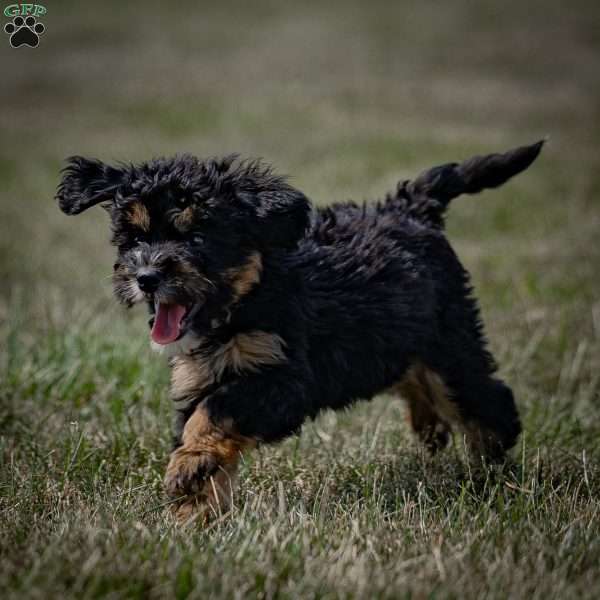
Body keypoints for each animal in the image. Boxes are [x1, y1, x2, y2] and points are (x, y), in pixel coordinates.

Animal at [56, 141, 544, 520]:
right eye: (135, 239)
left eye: (196, 238)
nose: (146, 278)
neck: (246, 300)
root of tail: (411, 207)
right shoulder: (200, 375)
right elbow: (205, 429)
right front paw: (195, 513)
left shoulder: (284, 377)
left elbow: (215, 412)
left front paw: (187, 467)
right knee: (413, 377)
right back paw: (432, 426)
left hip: (448, 339)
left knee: (483, 395)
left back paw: (492, 463)